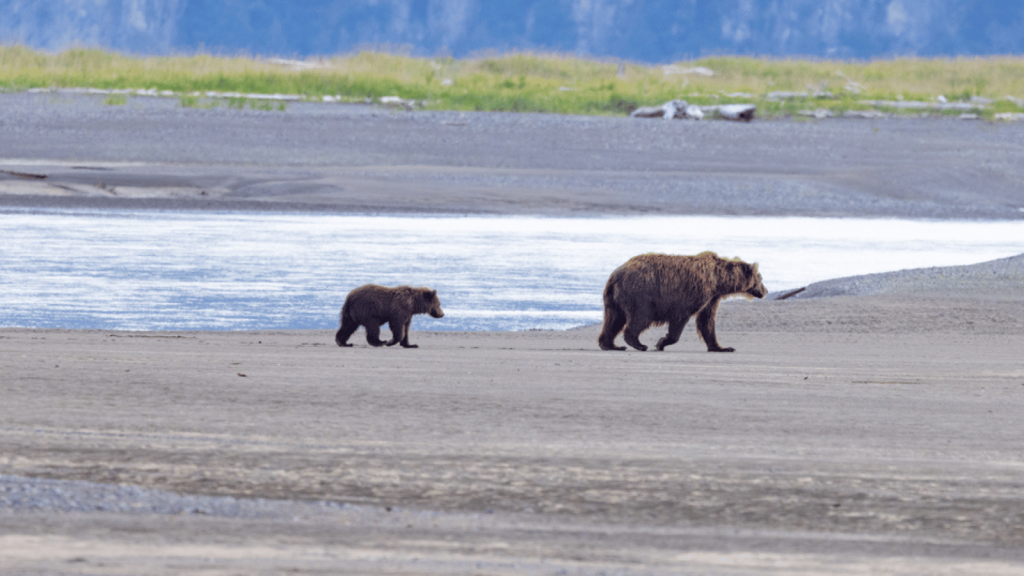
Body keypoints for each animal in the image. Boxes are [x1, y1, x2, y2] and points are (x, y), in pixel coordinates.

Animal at [598, 250, 765, 350]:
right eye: (760, 279)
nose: (765, 291)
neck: (718, 281)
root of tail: (615, 274)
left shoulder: (712, 298)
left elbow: (707, 321)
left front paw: (722, 348)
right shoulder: (694, 292)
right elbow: (681, 318)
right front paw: (661, 342)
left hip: (614, 297)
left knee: (613, 319)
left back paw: (611, 345)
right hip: (640, 293)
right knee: (640, 317)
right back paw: (638, 344)